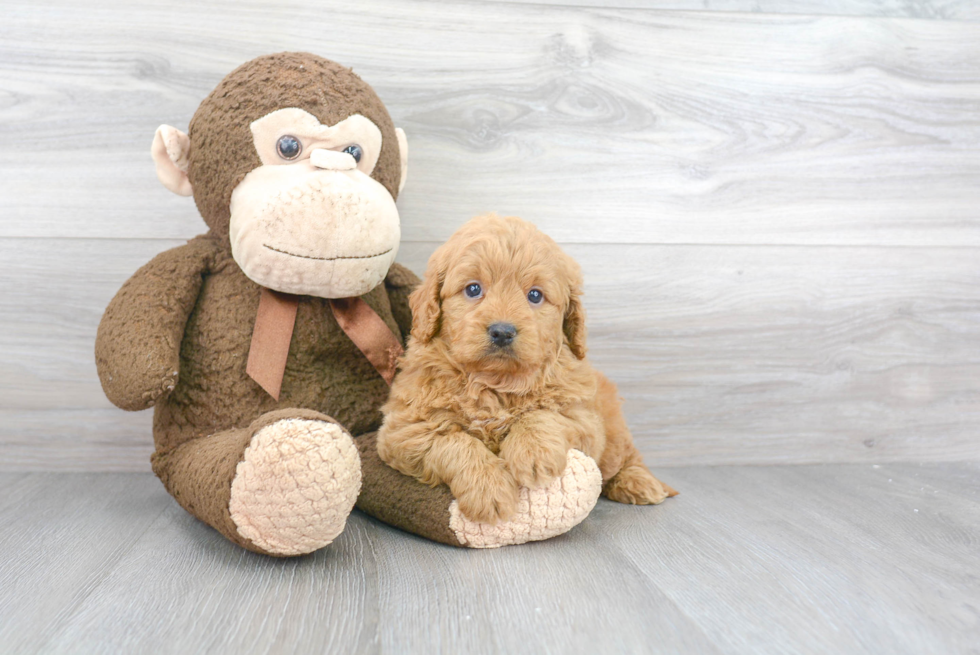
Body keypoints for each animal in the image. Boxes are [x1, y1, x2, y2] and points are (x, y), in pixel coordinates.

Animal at [376, 218, 672, 524]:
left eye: (535, 295)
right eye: (473, 289)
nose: (502, 331)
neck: (495, 382)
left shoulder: (584, 421)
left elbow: (541, 415)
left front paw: (533, 454)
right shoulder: (406, 430)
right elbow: (456, 443)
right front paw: (488, 489)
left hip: (612, 431)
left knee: (627, 456)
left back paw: (640, 482)